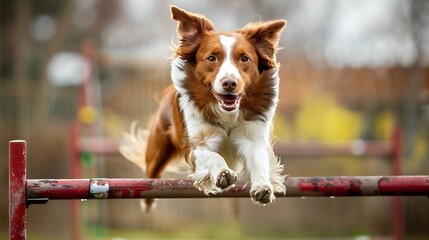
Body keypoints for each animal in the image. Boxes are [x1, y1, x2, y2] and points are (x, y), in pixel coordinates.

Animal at [120, 5, 286, 210]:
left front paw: (263, 186)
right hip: (158, 148)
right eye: (211, 57)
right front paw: (223, 173)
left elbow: (258, 161)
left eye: (245, 58)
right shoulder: (198, 142)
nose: (229, 83)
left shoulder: (252, 136)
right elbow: (210, 156)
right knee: (152, 172)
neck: (227, 114)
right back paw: (147, 201)